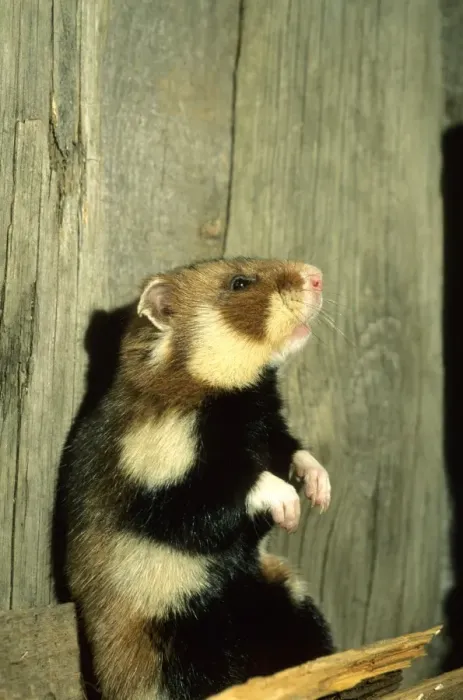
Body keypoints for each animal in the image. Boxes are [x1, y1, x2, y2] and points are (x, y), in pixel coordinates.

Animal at [64, 256, 335, 700]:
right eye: (240, 282)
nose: (317, 275)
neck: (244, 405)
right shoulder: (166, 485)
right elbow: (238, 489)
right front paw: (290, 509)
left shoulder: (272, 430)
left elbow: (296, 453)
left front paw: (320, 491)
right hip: (179, 647)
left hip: (291, 601)